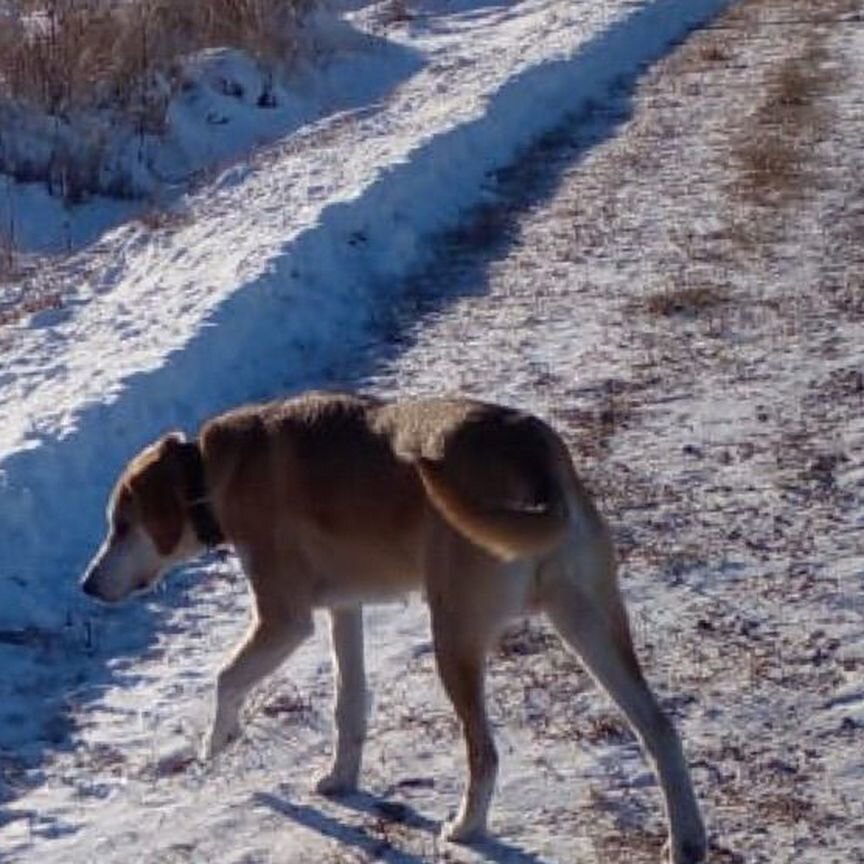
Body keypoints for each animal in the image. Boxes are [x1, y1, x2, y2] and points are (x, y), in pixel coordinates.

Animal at [81, 394, 704, 864]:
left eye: (122, 525)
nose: (86, 585)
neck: (210, 473)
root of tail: (533, 455)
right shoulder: (344, 610)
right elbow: (349, 707)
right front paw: (340, 778)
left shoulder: (284, 620)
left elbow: (226, 678)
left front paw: (217, 742)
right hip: (588, 624)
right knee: (660, 730)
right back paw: (687, 840)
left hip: (453, 635)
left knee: (485, 753)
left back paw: (466, 828)